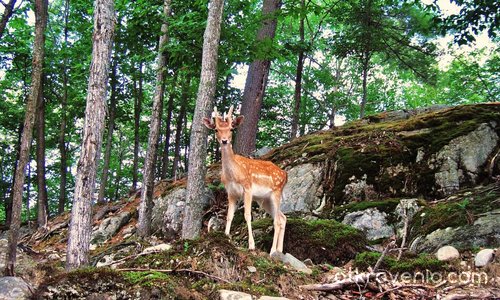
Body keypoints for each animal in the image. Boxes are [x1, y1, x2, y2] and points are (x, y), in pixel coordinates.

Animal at [203, 106, 288, 254]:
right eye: (216, 129)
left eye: (231, 129)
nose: (224, 140)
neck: (233, 174)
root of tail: (285, 174)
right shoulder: (231, 193)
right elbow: (229, 216)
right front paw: (226, 237)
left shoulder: (247, 188)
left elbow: (247, 215)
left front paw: (251, 245)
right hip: (264, 199)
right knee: (282, 217)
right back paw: (279, 250)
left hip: (276, 192)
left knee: (277, 220)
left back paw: (272, 251)